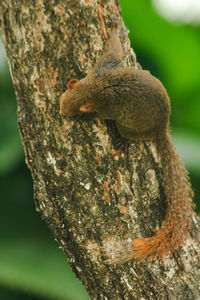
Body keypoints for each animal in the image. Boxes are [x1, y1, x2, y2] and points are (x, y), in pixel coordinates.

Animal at [59, 28, 194, 262]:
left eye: (70, 109)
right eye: (64, 95)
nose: (60, 110)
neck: (95, 87)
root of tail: (162, 128)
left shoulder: (105, 106)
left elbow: (99, 113)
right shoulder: (105, 66)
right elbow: (114, 49)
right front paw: (112, 29)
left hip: (128, 126)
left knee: (130, 134)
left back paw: (125, 140)